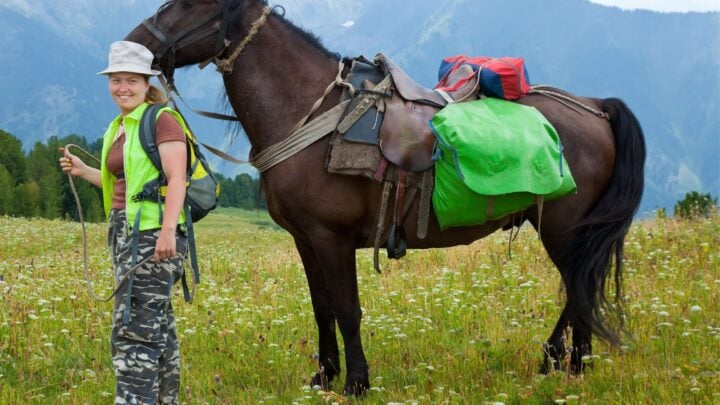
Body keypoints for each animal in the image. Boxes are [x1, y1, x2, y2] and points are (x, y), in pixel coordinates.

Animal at [125, 0, 646, 395]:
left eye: (190, 3)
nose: (136, 45)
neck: (309, 110)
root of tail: (596, 108)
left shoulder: (331, 237)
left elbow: (347, 310)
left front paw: (356, 382)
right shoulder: (305, 239)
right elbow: (322, 308)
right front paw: (324, 376)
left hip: (564, 228)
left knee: (579, 287)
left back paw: (566, 362)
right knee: (579, 290)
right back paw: (565, 362)